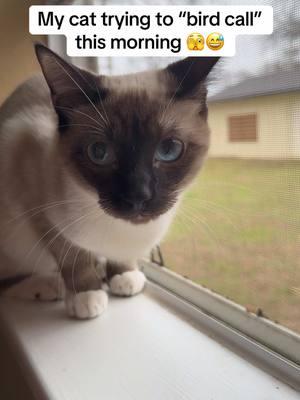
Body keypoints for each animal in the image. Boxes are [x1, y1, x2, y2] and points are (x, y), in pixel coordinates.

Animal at [0, 43, 218, 318]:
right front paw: (86, 295)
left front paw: (123, 275)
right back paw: (48, 285)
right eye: (99, 153)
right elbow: (74, 258)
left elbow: (118, 259)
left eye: (168, 150)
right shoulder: (38, 208)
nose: (139, 196)